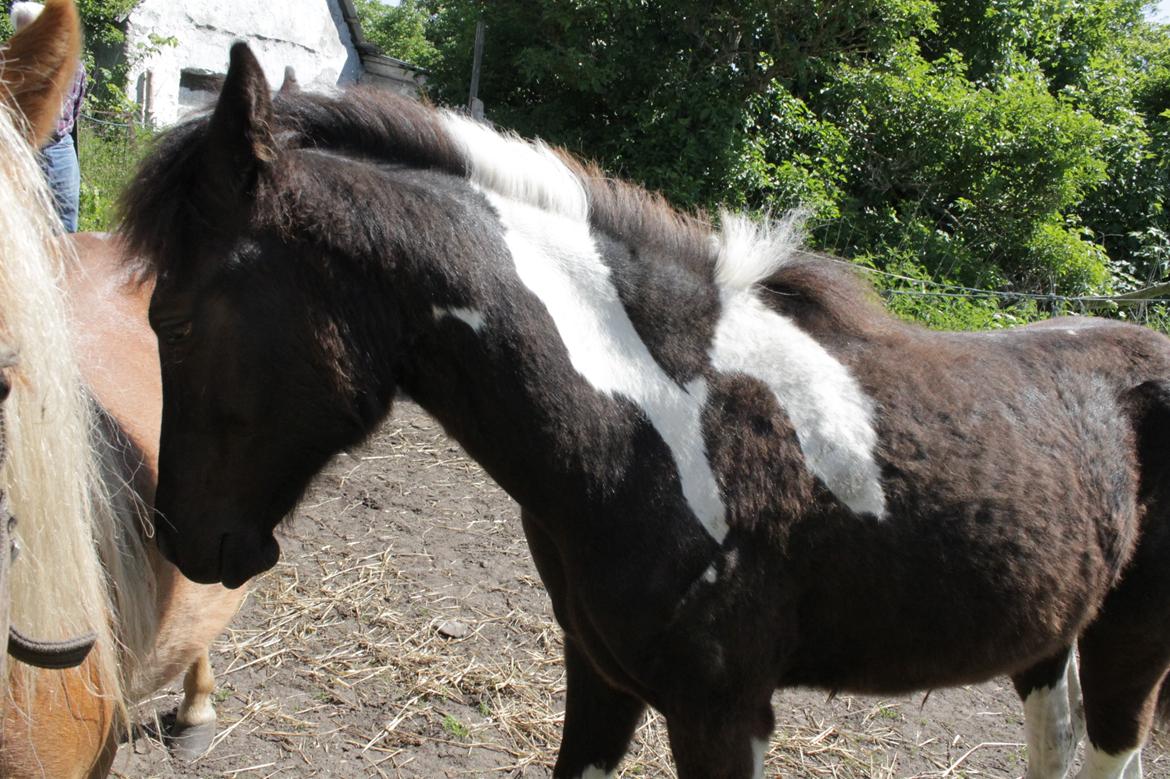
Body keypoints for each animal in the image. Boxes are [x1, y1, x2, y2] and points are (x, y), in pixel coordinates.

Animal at [121, 43, 1170, 776]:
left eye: (173, 316)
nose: (188, 541)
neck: (654, 428)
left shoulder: (723, 716)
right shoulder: (600, 685)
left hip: (1131, 646)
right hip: (1047, 637)